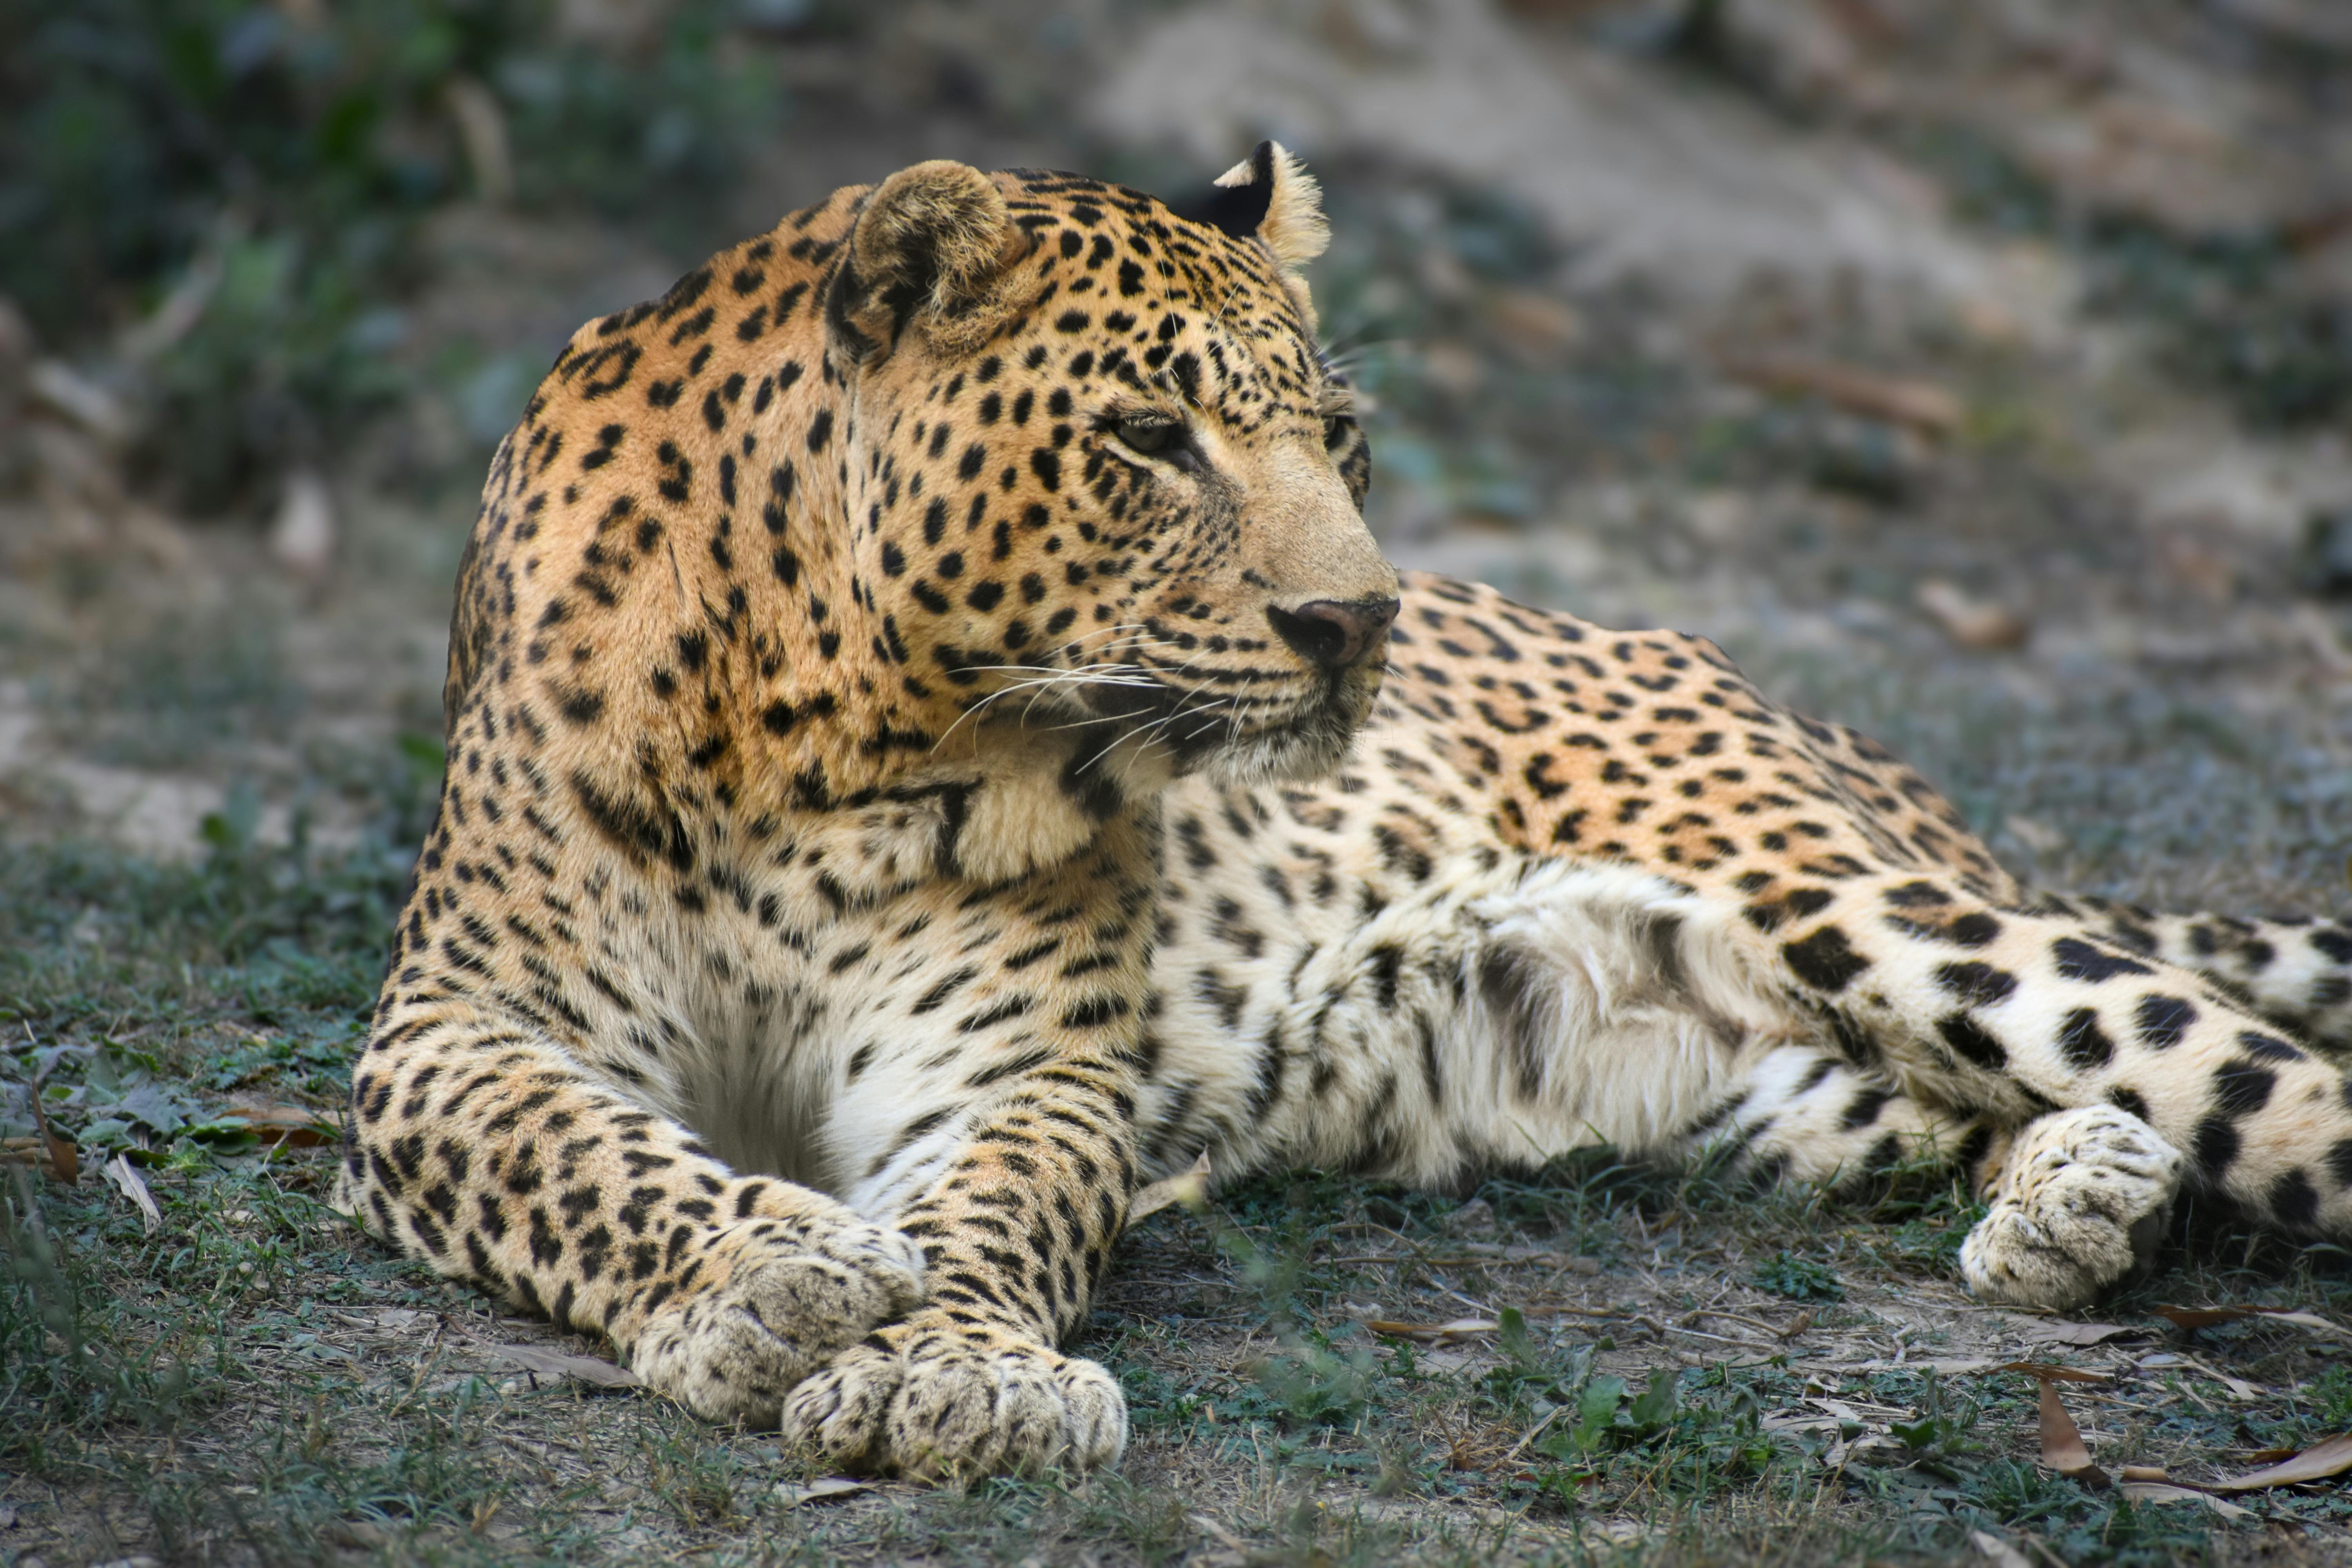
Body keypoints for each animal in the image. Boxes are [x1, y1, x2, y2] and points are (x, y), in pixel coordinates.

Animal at [338, 142, 2352, 1480]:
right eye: (1149, 438)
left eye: (1340, 439)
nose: (1361, 621)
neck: (833, 731)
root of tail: (1821, 724)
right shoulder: (453, 1027)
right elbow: (583, 1157)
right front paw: (775, 1272)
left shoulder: (1017, 1065)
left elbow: (994, 1209)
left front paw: (962, 1367)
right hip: (1769, 1086)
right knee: (1975, 1098)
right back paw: (2075, 1198)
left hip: (1846, 899)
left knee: (2224, 1058)